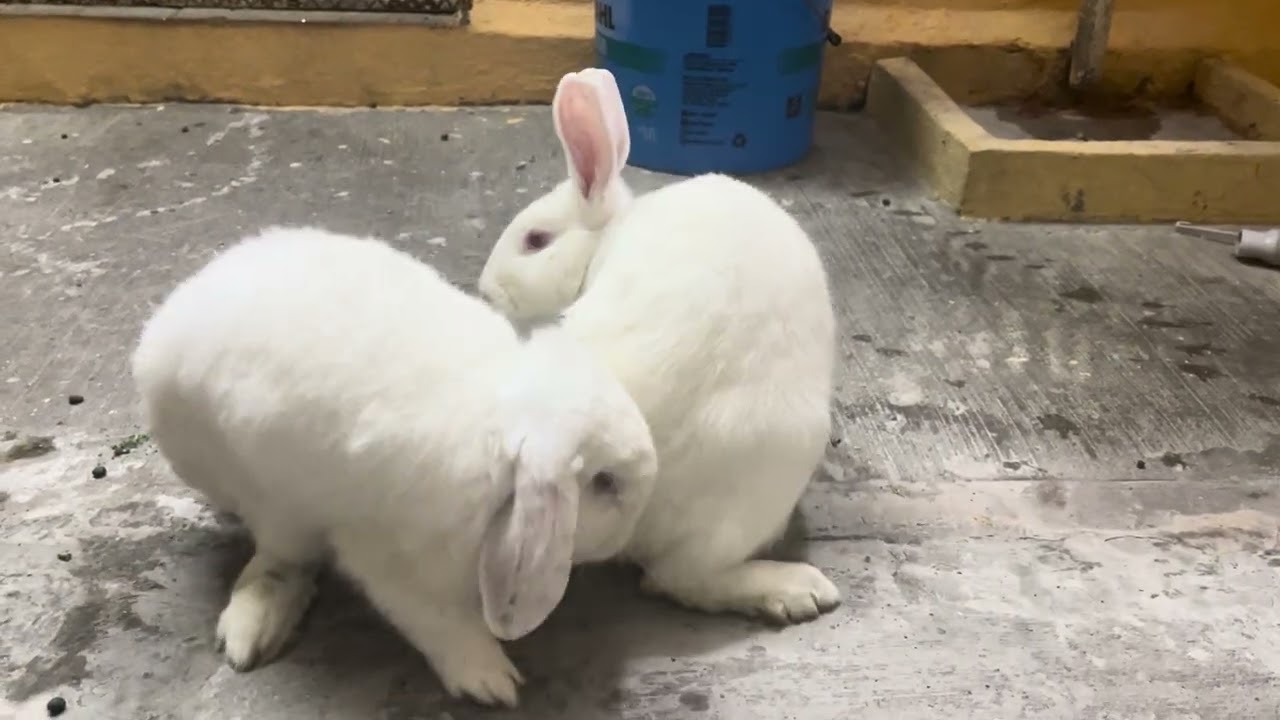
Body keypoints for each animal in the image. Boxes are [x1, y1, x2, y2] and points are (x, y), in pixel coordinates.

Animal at [132, 226, 658, 707]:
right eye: (604, 482)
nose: (634, 528)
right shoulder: (384, 557)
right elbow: (434, 618)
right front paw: (490, 680)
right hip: (264, 498)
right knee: (280, 559)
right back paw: (251, 631)